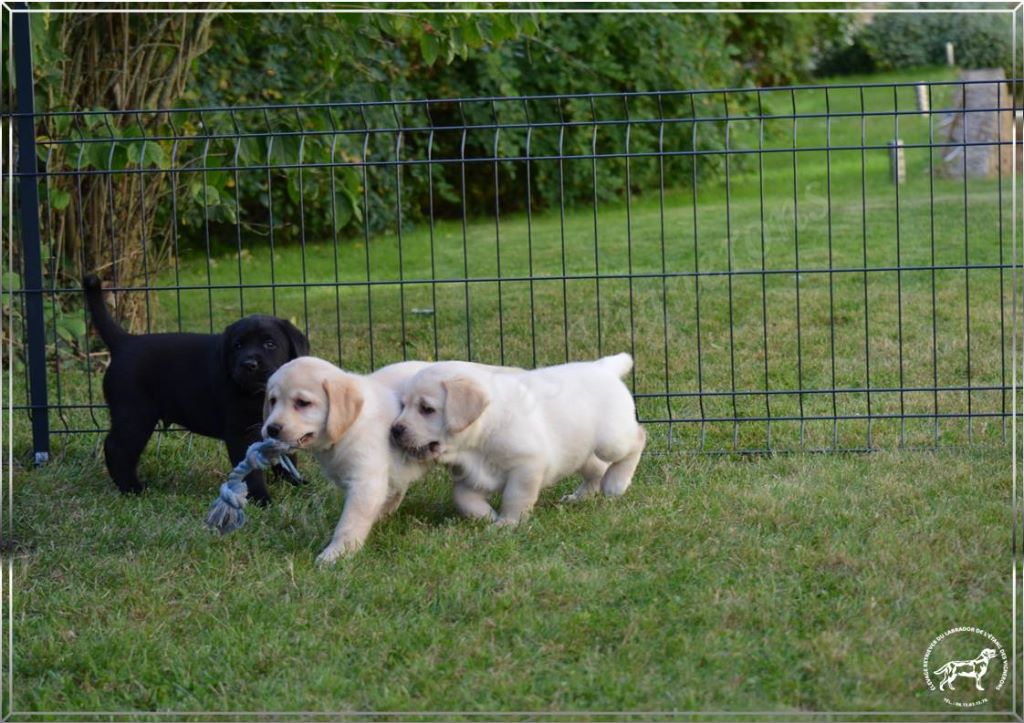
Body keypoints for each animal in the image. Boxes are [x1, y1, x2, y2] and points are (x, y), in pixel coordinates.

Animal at [82, 272, 307, 503]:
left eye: (270, 344)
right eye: (237, 346)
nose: (248, 364)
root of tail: (124, 342)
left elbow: (288, 457)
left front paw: (293, 483)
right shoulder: (240, 433)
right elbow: (250, 470)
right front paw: (261, 498)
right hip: (135, 414)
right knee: (117, 448)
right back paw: (132, 488)